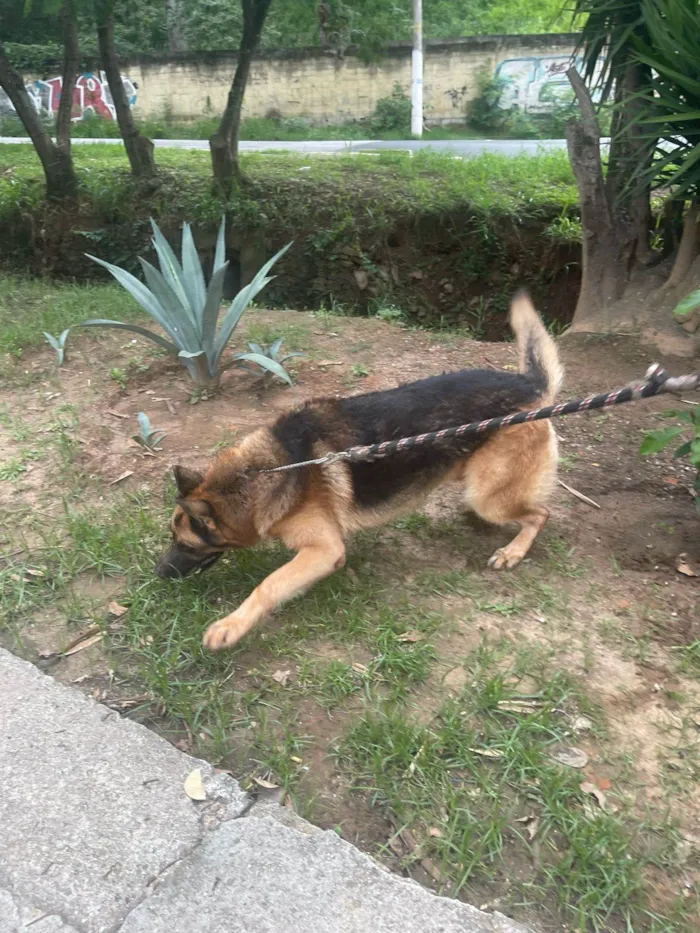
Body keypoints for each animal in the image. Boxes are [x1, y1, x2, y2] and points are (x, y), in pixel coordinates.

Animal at [156, 294, 560, 652]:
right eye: (173, 538)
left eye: (185, 544)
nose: (158, 573)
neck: (259, 474)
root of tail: (529, 386)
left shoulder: (324, 549)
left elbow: (269, 584)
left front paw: (231, 626)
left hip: (489, 497)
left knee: (540, 513)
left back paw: (513, 551)